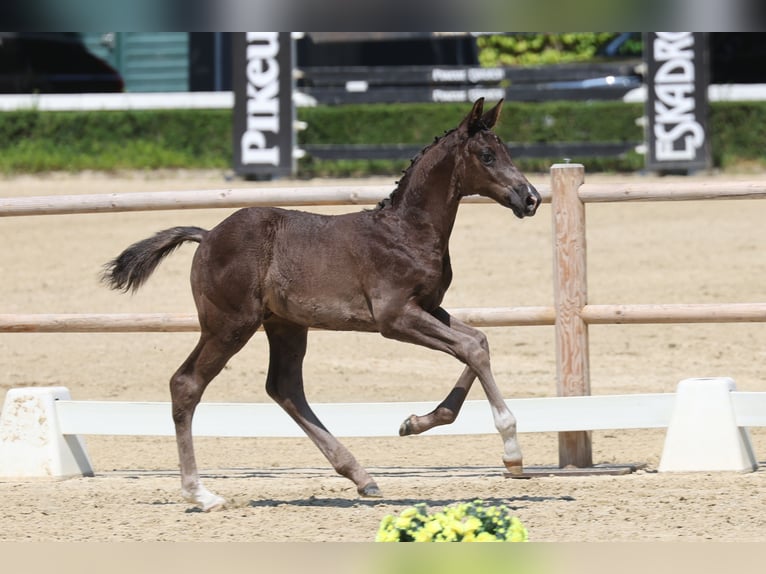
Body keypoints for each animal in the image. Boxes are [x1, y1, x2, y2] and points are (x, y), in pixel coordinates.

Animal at [101, 98, 541, 511]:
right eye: (486, 155)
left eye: (506, 150)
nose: (530, 198)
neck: (407, 232)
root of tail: (207, 235)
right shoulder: (395, 318)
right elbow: (471, 349)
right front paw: (512, 449)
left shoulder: (429, 309)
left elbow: (478, 342)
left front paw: (414, 423)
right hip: (229, 325)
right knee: (187, 384)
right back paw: (200, 494)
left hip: (285, 325)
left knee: (284, 388)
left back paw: (361, 476)